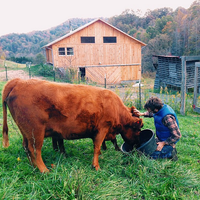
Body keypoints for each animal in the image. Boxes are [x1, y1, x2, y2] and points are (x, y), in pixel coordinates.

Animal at [2, 79, 143, 173]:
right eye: (138, 130)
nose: (138, 144)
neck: (116, 107)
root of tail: (19, 81)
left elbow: (99, 146)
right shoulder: (103, 128)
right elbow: (97, 146)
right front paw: (96, 166)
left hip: (25, 132)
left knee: (26, 147)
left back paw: (34, 167)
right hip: (35, 132)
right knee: (35, 150)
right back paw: (44, 170)